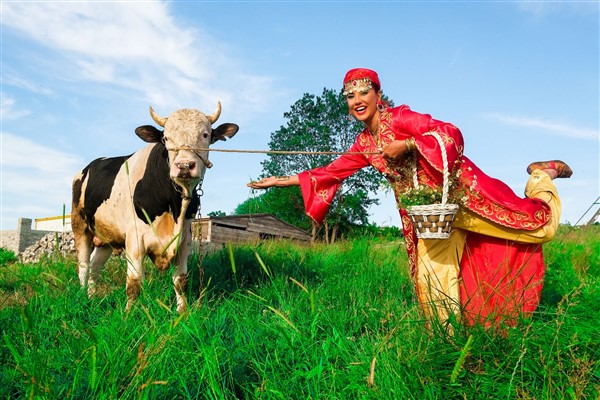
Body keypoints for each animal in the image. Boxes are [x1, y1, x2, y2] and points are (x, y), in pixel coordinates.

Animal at [71, 102, 238, 312]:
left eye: (205, 135)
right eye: (166, 138)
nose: (184, 165)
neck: (174, 206)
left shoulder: (184, 240)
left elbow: (180, 281)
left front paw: (182, 312)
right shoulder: (135, 240)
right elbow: (134, 283)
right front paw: (129, 314)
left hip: (106, 238)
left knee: (95, 267)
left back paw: (92, 298)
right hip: (80, 227)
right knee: (84, 267)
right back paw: (82, 298)